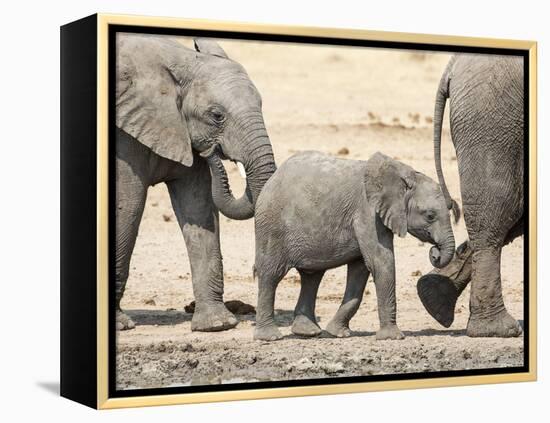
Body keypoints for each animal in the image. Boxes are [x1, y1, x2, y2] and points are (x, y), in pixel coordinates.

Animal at [118, 34, 278, 332]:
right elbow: (128, 206)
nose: (212, 151)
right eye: (216, 116)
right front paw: (120, 325)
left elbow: (199, 207)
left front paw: (216, 325)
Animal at [256, 151, 462, 342]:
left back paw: (308, 332)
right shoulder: (367, 212)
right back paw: (270, 337)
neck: (404, 174)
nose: (435, 253)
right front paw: (392, 337)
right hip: (271, 225)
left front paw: (338, 333)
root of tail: (272, 179)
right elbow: (380, 262)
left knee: (312, 276)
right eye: (430, 216)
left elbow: (360, 270)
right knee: (271, 274)